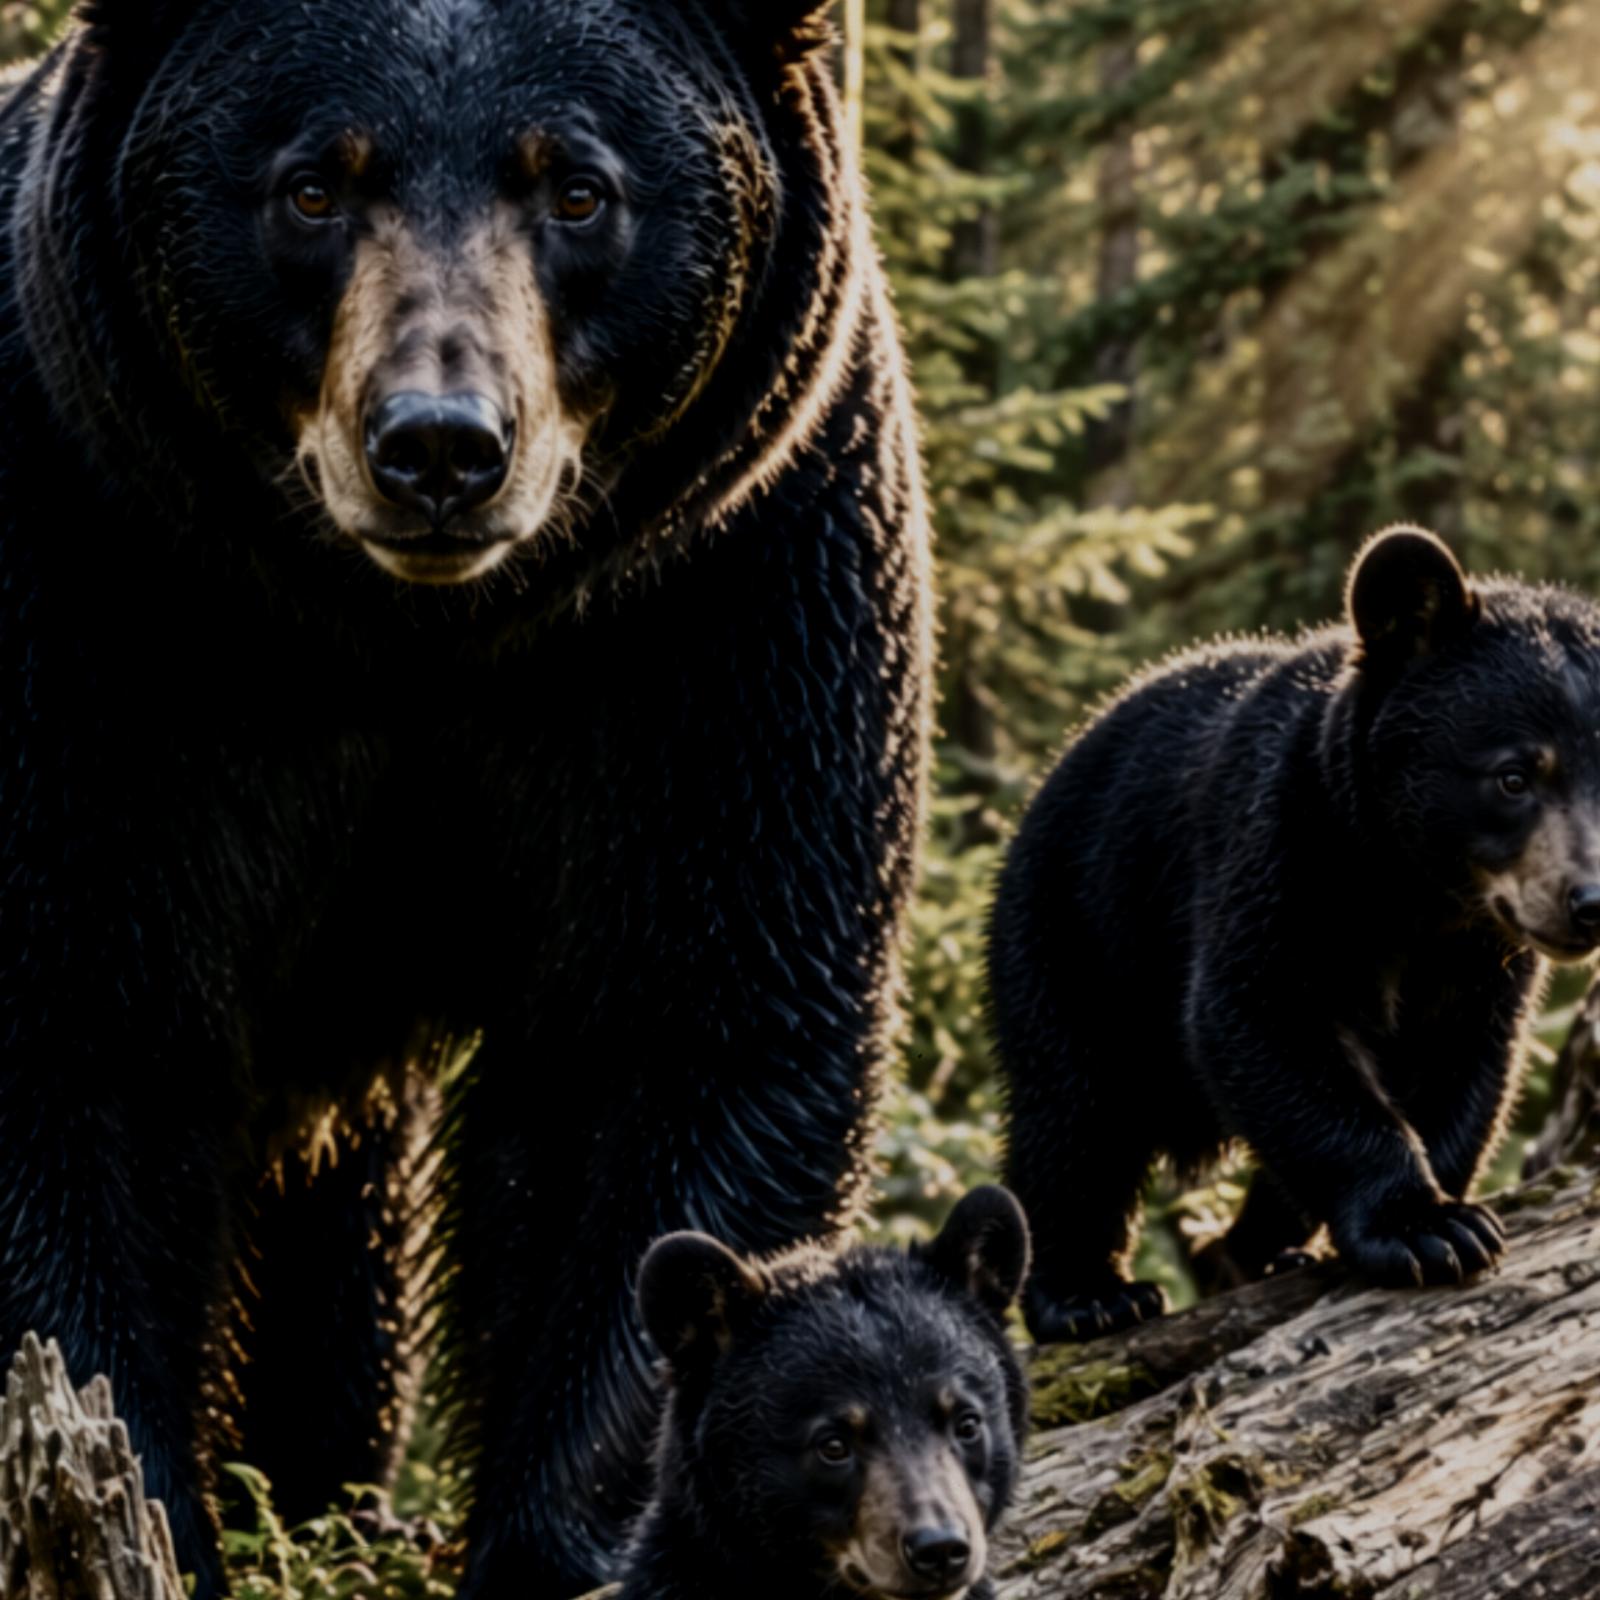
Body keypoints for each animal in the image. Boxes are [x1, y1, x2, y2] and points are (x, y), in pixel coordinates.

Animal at [0, 2, 931, 1596]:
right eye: (316, 184)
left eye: (578, 187)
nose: (439, 442)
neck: (405, 633)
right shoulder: (91, 576)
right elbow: (76, 1037)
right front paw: (143, 1523)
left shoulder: (733, 593)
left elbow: (680, 1043)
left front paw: (564, 1536)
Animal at [987, 526, 1600, 1344]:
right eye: (1513, 776)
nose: (1591, 901)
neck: (1412, 890)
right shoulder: (1285, 855)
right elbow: (1259, 1016)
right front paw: (1428, 1228)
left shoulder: (1478, 955)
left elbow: (1460, 1065)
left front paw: (1437, 1211)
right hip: (1075, 926)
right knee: (1075, 1113)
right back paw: (1089, 1294)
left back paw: (1252, 1252)